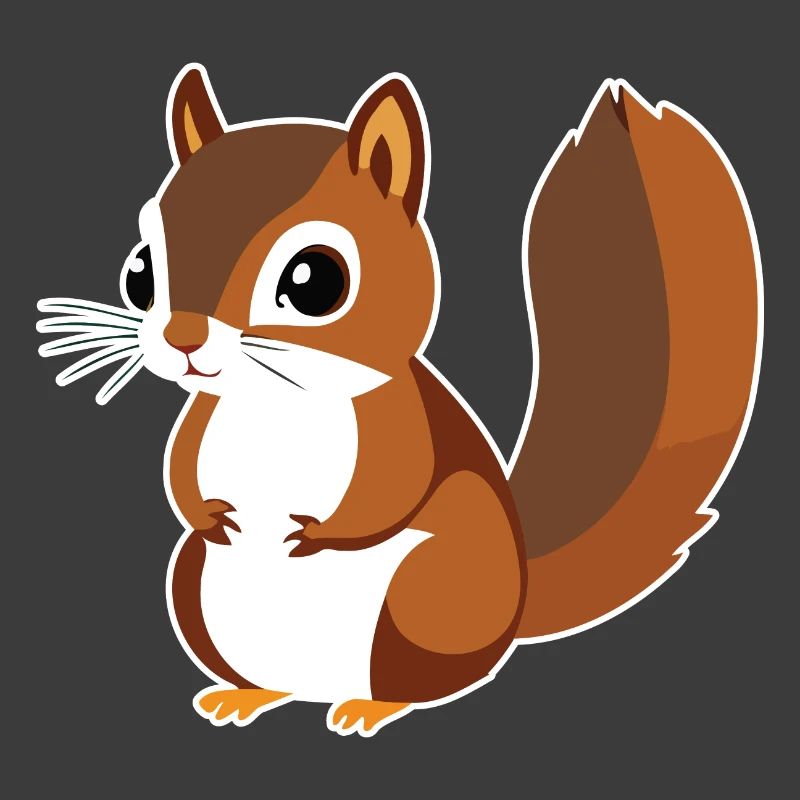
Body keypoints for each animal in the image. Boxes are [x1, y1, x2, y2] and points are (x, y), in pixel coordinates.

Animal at [37, 64, 761, 736]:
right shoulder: (202, 421)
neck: (274, 402)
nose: (182, 337)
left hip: (426, 598)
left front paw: (315, 534)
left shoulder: (399, 423)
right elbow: (180, 474)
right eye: (140, 270)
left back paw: (370, 707)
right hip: (195, 589)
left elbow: (390, 489)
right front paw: (210, 516)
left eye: (315, 280)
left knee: (417, 682)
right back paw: (246, 695)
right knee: (271, 676)